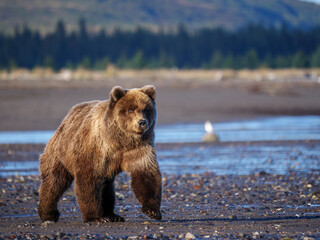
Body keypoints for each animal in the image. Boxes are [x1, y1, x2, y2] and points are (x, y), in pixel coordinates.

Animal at [37, 85, 161, 223]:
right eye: (130, 109)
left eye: (146, 109)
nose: (142, 122)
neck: (119, 140)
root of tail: (66, 119)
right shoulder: (95, 148)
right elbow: (88, 179)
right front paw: (93, 217)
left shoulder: (139, 147)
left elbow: (146, 173)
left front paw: (152, 211)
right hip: (60, 152)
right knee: (54, 181)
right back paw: (49, 214)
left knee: (106, 188)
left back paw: (112, 215)